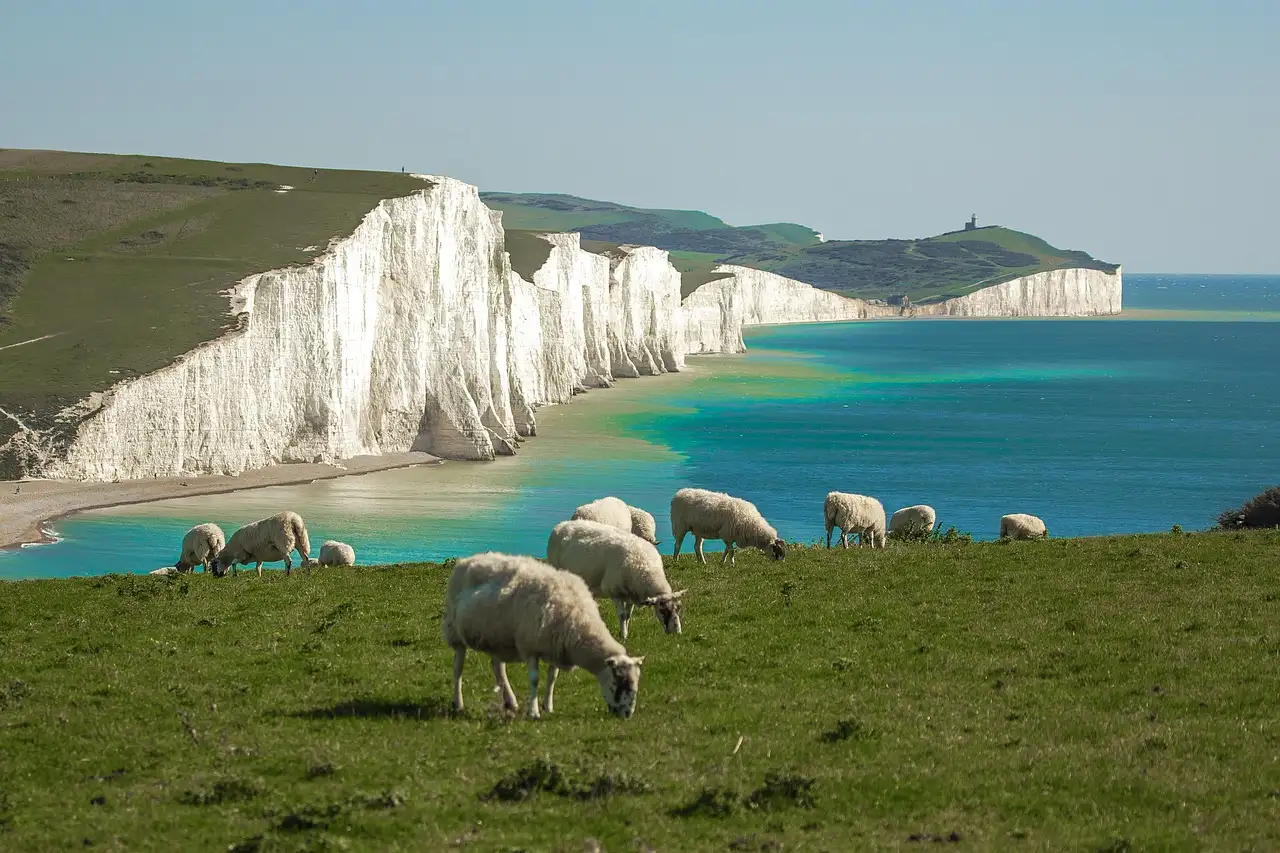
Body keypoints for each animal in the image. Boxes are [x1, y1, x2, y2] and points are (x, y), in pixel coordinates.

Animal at [442, 552, 645, 719]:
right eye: (621, 682)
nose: (628, 715)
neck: (578, 622)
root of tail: (467, 560)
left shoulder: (555, 646)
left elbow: (552, 677)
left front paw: (548, 706)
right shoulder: (530, 646)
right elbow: (535, 679)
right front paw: (534, 712)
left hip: (498, 637)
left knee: (498, 667)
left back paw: (510, 701)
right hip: (454, 630)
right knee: (458, 667)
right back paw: (458, 703)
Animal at [546, 519, 685, 641]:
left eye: (678, 608)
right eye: (662, 610)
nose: (677, 633)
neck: (644, 568)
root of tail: (562, 524)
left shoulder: (631, 595)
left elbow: (628, 616)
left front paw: (625, 632)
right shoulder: (614, 591)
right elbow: (622, 615)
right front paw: (624, 636)